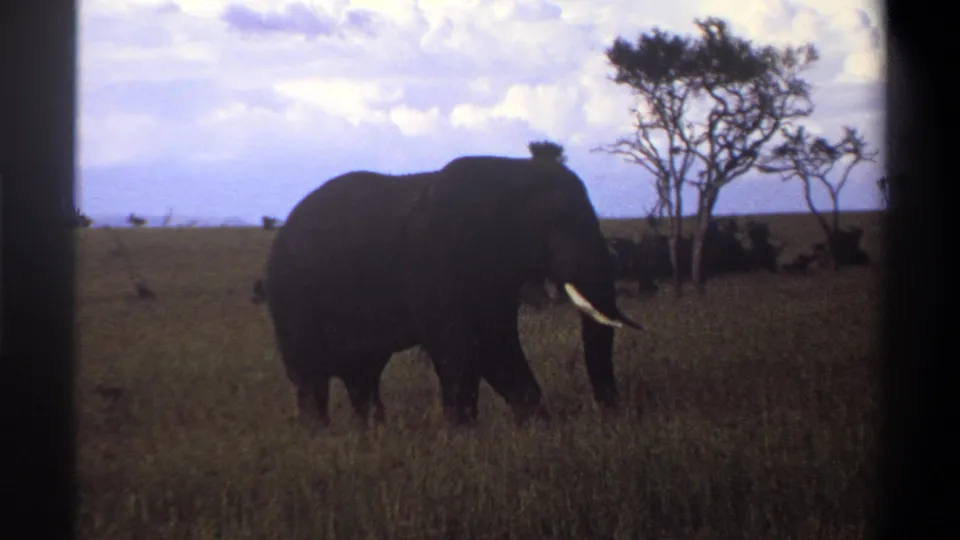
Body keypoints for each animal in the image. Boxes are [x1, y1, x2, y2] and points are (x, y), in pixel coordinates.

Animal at [263, 155, 643, 429]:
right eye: (556, 224)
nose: (611, 415)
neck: (510, 172)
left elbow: (495, 346)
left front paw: (537, 427)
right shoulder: (434, 262)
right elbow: (458, 347)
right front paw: (463, 435)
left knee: (362, 374)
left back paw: (372, 433)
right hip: (291, 295)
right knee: (311, 375)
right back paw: (321, 437)